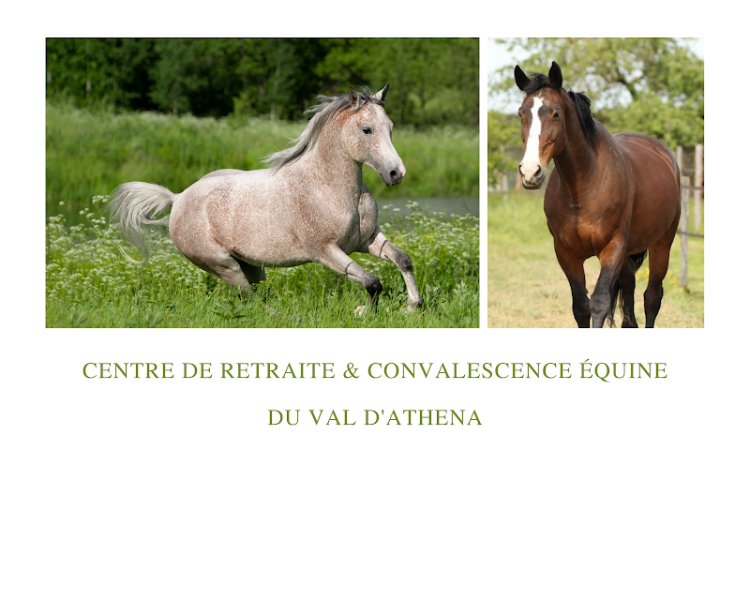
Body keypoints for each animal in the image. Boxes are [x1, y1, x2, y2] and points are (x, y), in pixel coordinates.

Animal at [111, 85, 423, 312]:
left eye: (390, 128)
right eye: (366, 130)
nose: (396, 173)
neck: (329, 187)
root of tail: (177, 199)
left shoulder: (365, 241)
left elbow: (403, 259)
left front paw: (413, 306)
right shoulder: (325, 251)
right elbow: (372, 281)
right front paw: (363, 311)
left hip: (252, 266)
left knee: (256, 295)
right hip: (224, 265)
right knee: (250, 299)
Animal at [514, 62, 681, 328]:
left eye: (556, 114)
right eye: (521, 114)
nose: (531, 172)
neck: (583, 187)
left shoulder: (612, 248)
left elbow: (600, 302)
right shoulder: (566, 252)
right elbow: (581, 307)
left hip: (662, 243)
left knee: (652, 297)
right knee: (630, 291)